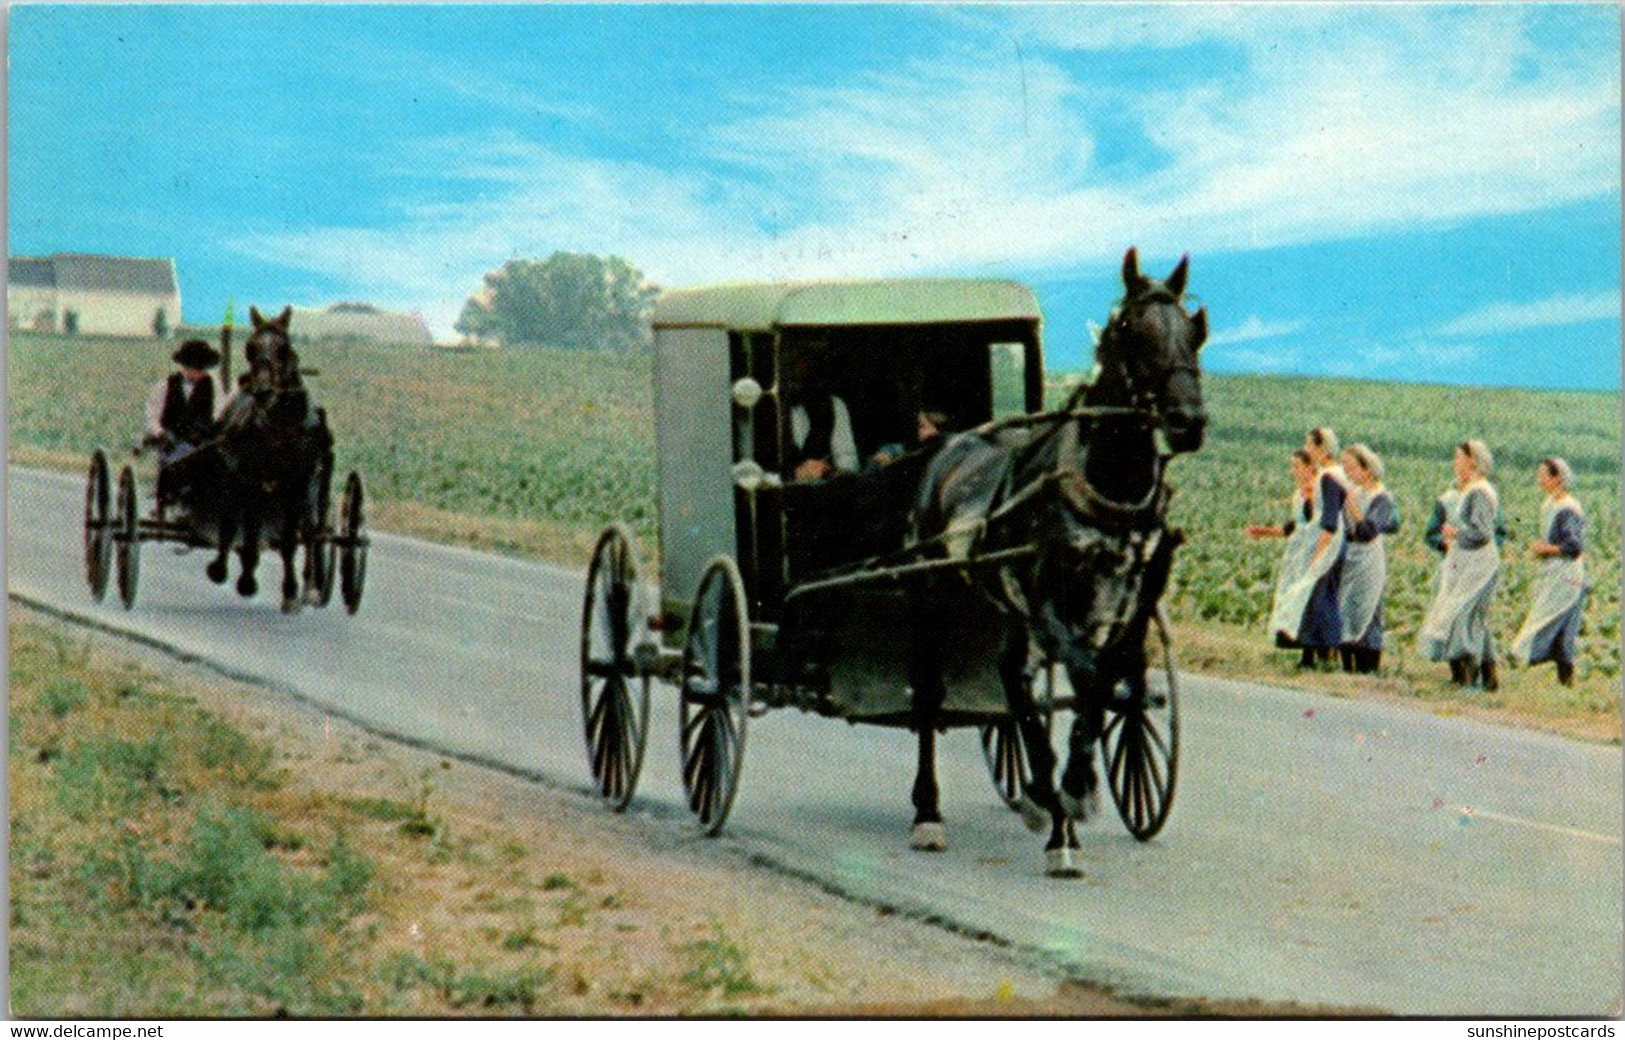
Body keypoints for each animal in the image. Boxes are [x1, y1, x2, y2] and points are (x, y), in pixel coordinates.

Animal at [206, 305, 333, 614]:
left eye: (284, 348)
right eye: (250, 348)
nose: (262, 391)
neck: (283, 427)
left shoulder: (298, 485)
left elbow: (291, 540)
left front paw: (292, 593)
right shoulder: (251, 479)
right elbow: (245, 528)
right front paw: (244, 577)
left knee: (309, 530)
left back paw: (310, 587)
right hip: (240, 483)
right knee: (235, 522)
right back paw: (231, 570)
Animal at [910, 247, 1215, 871]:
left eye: (1194, 330)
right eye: (1133, 330)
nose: (1188, 421)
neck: (1106, 488)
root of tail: (949, 445)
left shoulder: (1127, 608)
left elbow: (1104, 684)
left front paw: (1071, 798)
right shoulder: (1052, 603)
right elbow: (1086, 675)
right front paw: (1066, 799)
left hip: (1006, 604)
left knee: (1013, 676)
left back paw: (1038, 792)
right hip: (935, 591)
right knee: (931, 694)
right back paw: (930, 812)